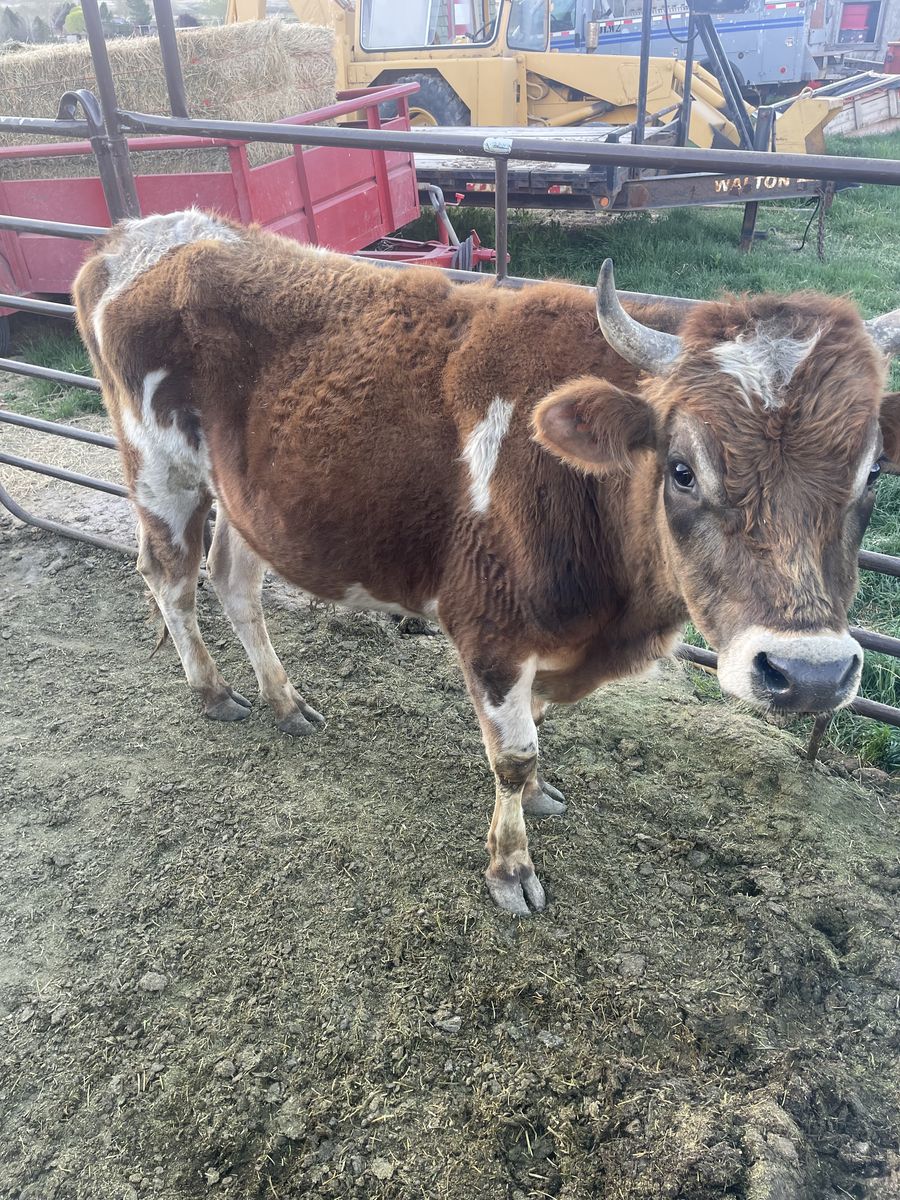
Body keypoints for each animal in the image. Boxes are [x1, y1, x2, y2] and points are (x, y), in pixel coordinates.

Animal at [73, 209, 900, 915]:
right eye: (682, 469)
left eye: (872, 474)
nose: (810, 674)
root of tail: (145, 234)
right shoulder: (491, 630)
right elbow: (513, 754)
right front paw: (511, 867)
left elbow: (534, 732)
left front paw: (537, 800)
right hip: (159, 470)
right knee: (171, 581)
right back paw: (212, 691)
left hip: (249, 497)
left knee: (234, 584)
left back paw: (285, 701)